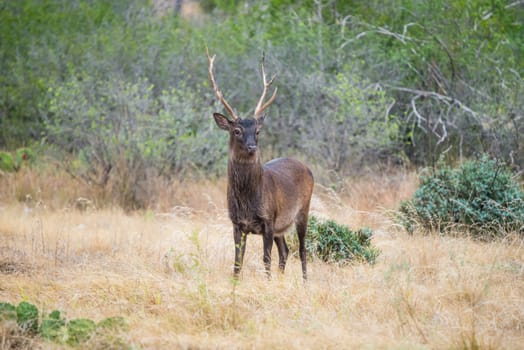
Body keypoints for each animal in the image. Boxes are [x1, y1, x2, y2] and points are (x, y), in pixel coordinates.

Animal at [208, 49, 316, 280]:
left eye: (257, 131)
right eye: (237, 130)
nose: (251, 146)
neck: (248, 200)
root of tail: (306, 167)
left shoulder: (268, 219)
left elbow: (266, 259)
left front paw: (267, 282)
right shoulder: (237, 223)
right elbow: (237, 262)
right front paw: (236, 283)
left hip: (303, 209)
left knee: (302, 249)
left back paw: (304, 281)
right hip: (281, 226)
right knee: (285, 251)